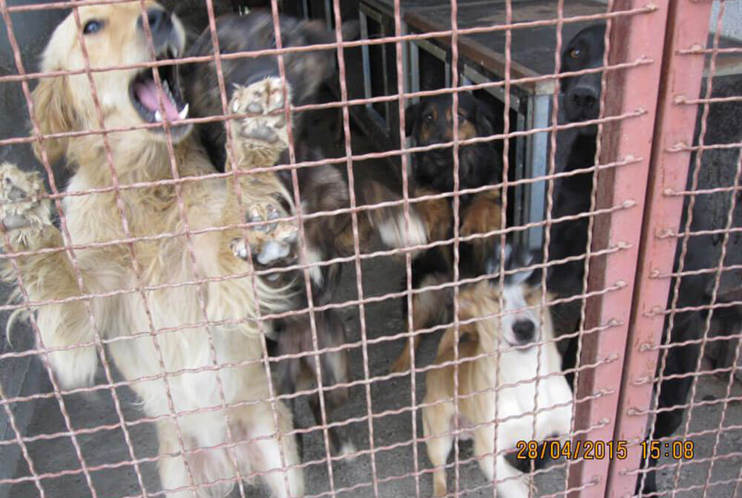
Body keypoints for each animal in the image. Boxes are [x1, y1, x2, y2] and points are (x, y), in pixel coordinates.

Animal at [0, 3, 324, 496]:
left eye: (147, 5)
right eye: (91, 26)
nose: (157, 16)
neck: (144, 180)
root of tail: (228, 460)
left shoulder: (221, 280)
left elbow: (231, 214)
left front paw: (255, 135)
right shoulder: (71, 334)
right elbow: (56, 278)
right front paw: (22, 212)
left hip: (280, 459)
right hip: (178, 475)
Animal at [389, 92, 504, 373]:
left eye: (459, 116)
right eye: (428, 117)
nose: (437, 147)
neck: (450, 174)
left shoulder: (492, 200)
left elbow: (484, 203)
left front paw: (472, 222)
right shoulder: (429, 206)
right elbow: (429, 208)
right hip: (423, 286)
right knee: (414, 334)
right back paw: (402, 364)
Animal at [423, 244, 572, 497]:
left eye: (530, 294)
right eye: (494, 299)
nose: (524, 328)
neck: (525, 373)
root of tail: (443, 355)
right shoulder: (488, 452)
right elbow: (510, 486)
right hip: (440, 437)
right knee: (439, 472)